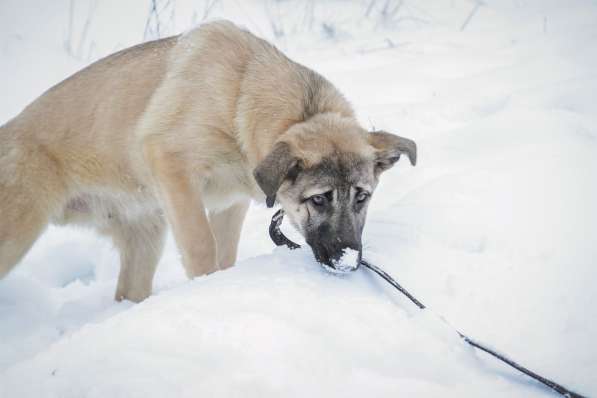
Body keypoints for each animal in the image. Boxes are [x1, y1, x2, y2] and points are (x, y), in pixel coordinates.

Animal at [0, 21, 416, 302]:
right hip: (15, 236)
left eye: (362, 197)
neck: (239, 94)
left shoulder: (230, 203)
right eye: (318, 199)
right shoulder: (172, 166)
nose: (349, 262)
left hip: (145, 239)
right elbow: (202, 247)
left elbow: (225, 254)